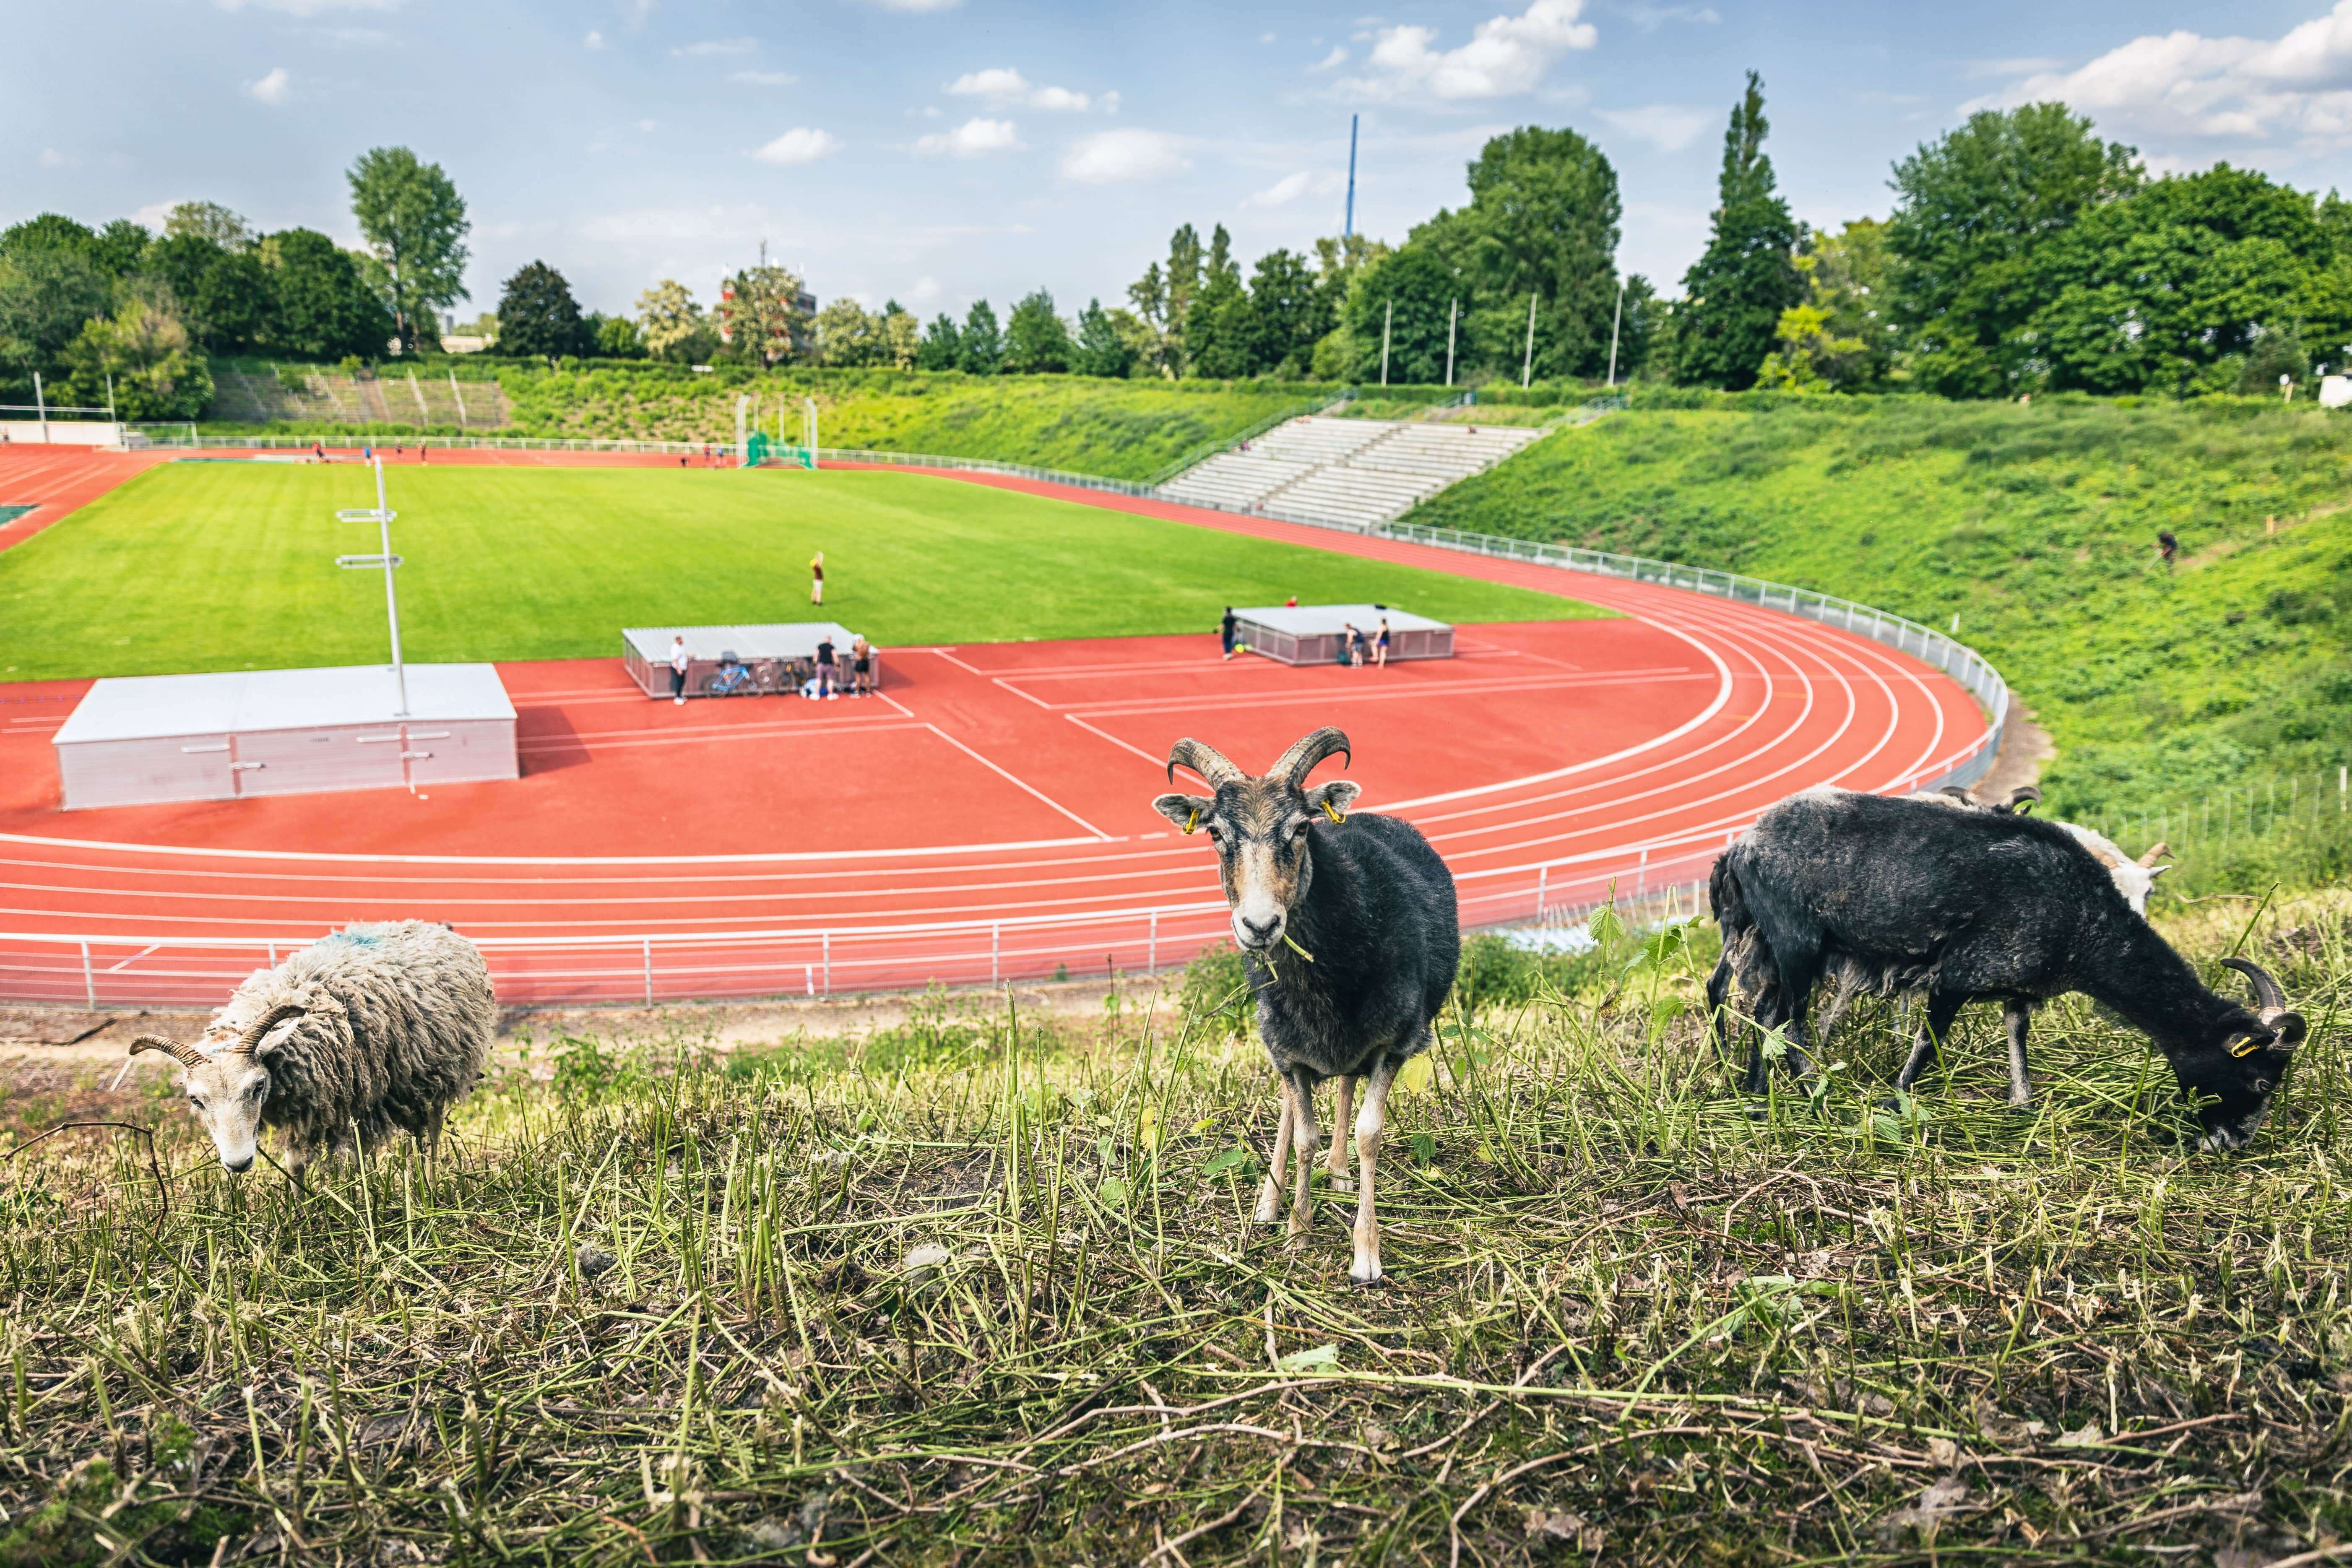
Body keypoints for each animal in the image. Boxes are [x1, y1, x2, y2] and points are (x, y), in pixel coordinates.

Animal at [128, 920, 496, 1183]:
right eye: (195, 1100)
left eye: (257, 1086)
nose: (239, 1163)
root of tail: (431, 926)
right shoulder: (299, 1108)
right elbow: (295, 1164)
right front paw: (298, 1214)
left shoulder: (344, 1102)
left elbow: (347, 1156)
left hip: (439, 1072)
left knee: (431, 1131)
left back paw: (429, 1185)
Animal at [1154, 726, 1458, 1284]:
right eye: (1215, 834)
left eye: (1299, 828)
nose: (1259, 925)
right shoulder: (1288, 1051)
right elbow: (1302, 1137)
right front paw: (1296, 1229)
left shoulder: (1396, 1043)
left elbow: (1368, 1134)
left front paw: (1365, 1256)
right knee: (1292, 1108)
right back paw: (1268, 1203)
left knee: (1345, 1086)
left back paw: (1337, 1174)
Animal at [1705, 788, 2304, 1150]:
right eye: (2258, 1078)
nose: (2233, 1143)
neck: (2084, 921)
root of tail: (1740, 846)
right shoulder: (1956, 975)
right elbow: (1926, 1047)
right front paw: (1897, 1104)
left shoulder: (2020, 989)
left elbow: (2018, 1043)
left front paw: (2021, 1106)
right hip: (1796, 940)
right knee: (1790, 1020)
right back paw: (1812, 1092)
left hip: (1775, 943)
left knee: (1766, 1013)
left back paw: (1756, 1096)